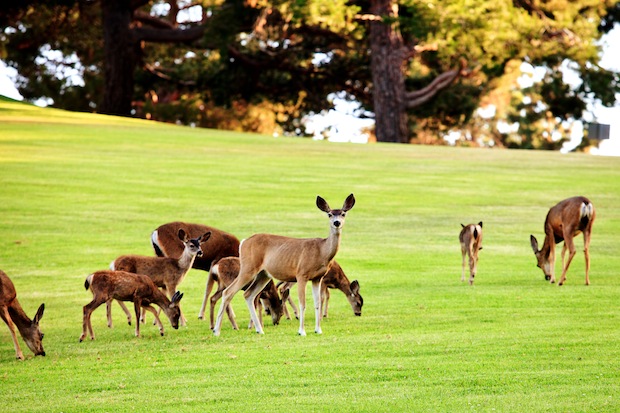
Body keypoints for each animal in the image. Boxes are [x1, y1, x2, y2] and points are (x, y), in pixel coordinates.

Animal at [213, 193, 356, 334]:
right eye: (329, 214)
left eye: (343, 213)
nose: (337, 223)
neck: (321, 251)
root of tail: (243, 242)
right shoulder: (301, 274)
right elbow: (303, 304)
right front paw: (301, 331)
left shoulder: (317, 278)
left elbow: (317, 304)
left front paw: (318, 330)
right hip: (248, 268)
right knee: (228, 292)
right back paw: (216, 330)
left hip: (263, 274)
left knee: (248, 294)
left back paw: (259, 330)